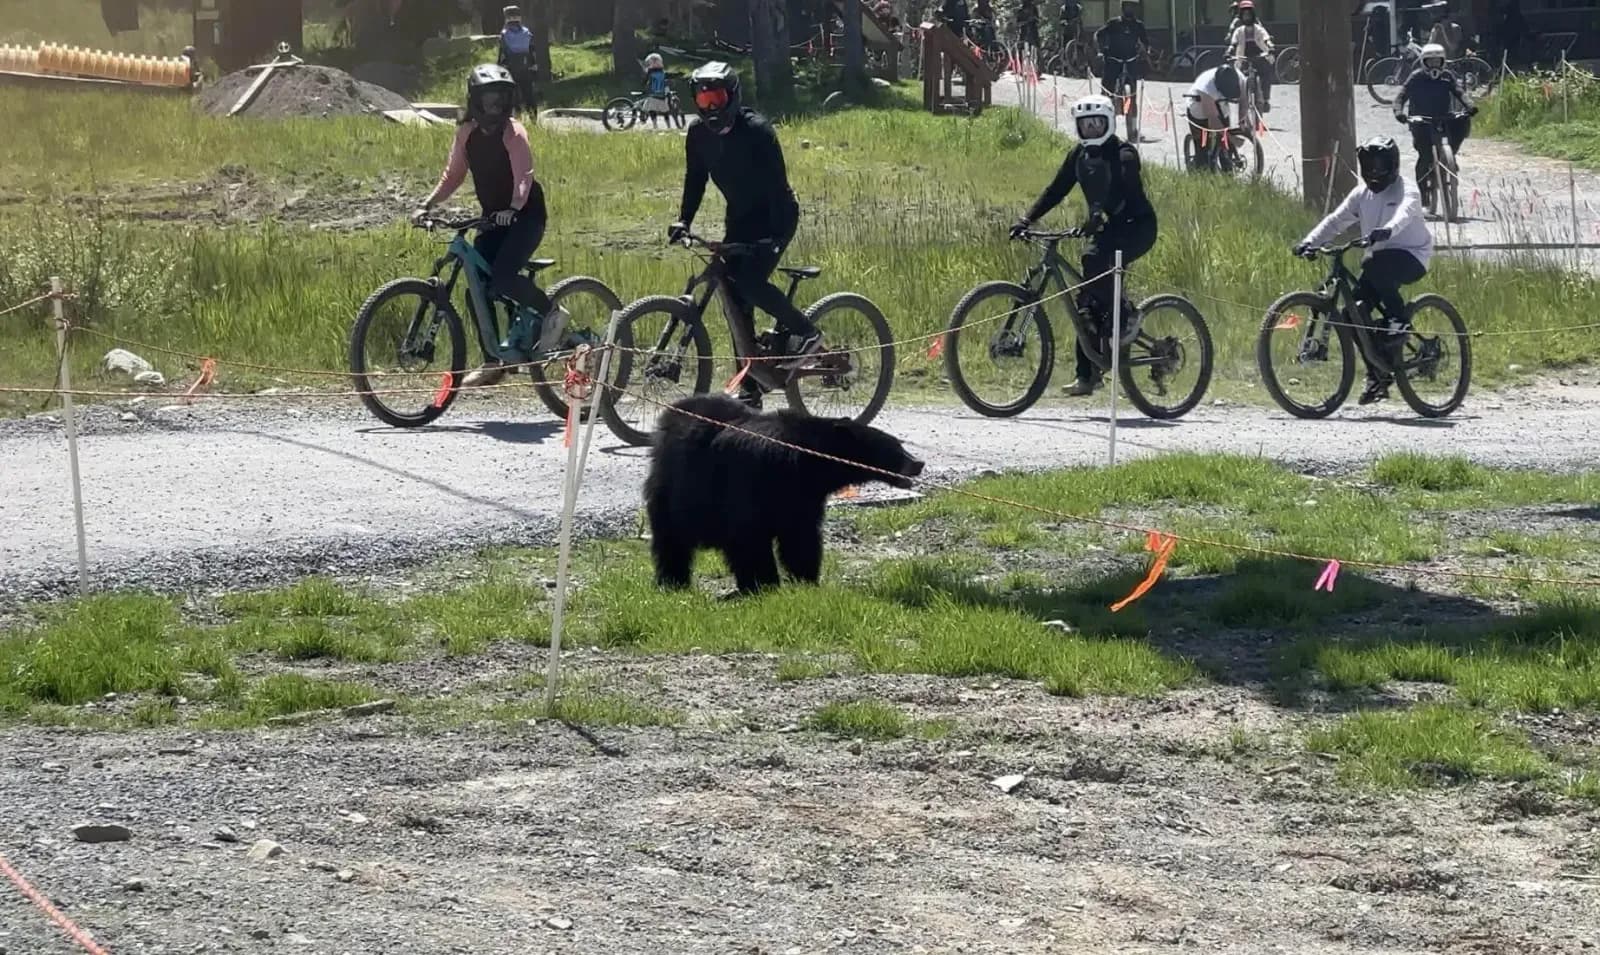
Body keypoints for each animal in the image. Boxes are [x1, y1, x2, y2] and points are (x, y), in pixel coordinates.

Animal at [644, 393, 926, 595]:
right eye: (895, 448)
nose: (918, 462)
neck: (807, 460)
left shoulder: (803, 496)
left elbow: (800, 536)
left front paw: (806, 580)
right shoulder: (756, 479)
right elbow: (750, 535)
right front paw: (765, 585)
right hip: (675, 487)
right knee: (672, 540)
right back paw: (673, 582)